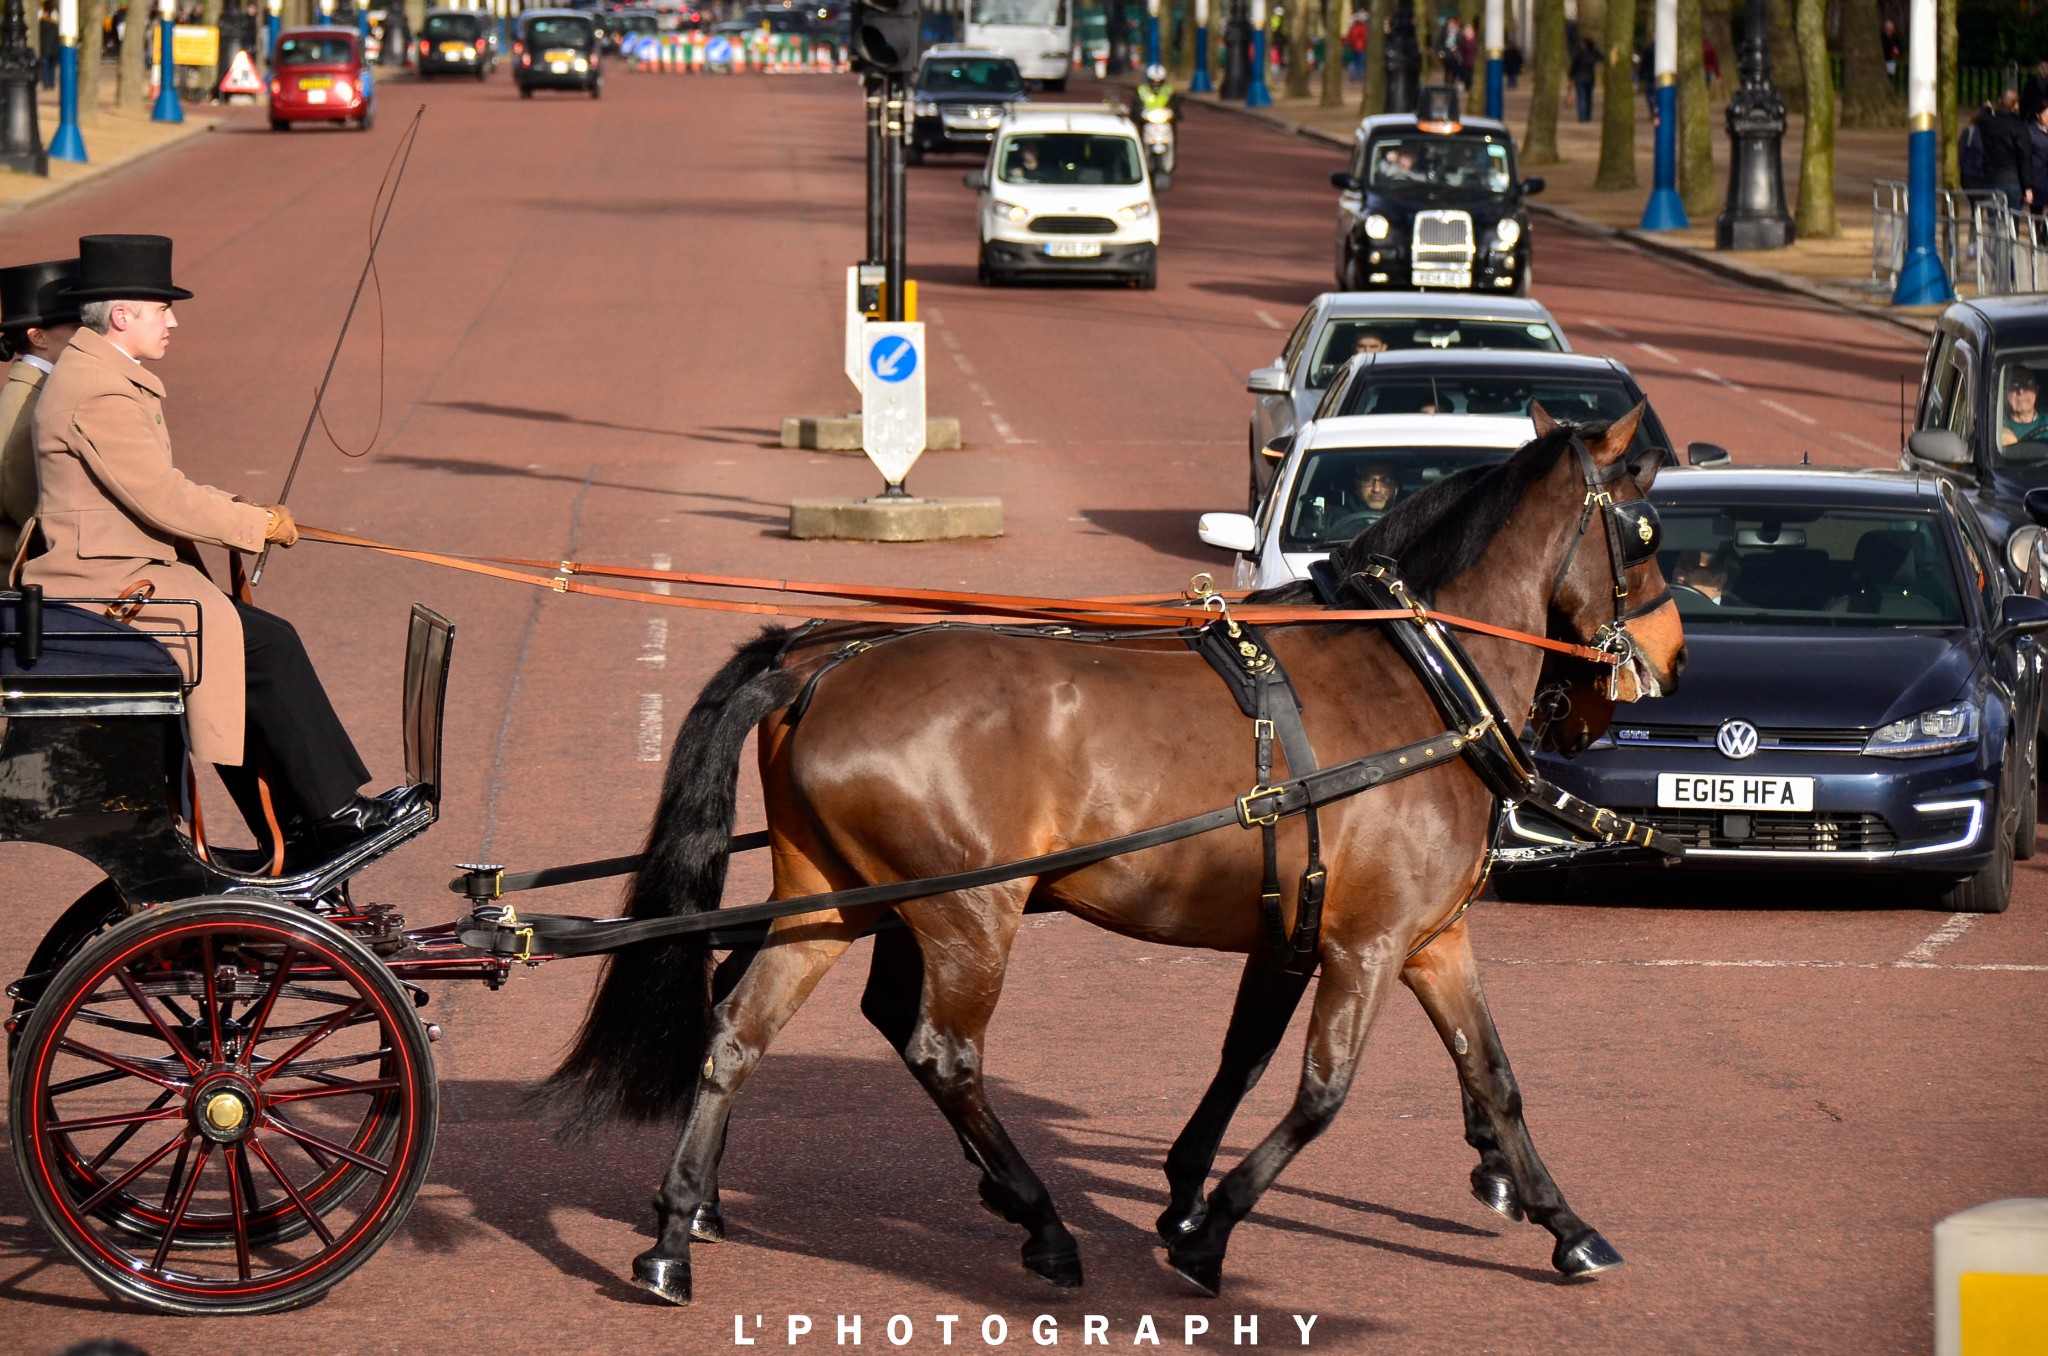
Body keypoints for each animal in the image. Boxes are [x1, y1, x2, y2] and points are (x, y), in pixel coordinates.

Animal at [544, 411, 1679, 1310]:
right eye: (1648, 526)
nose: (1670, 655)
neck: (1416, 677)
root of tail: (819, 661)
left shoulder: (1416, 938)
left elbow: (1488, 1076)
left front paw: (1563, 1222)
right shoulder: (1364, 944)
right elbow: (1320, 1092)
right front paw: (1207, 1229)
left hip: (840, 900)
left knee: (738, 1025)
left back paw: (677, 1230)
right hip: (968, 913)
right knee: (940, 1053)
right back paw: (1037, 1221)